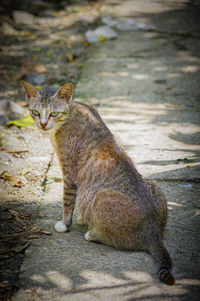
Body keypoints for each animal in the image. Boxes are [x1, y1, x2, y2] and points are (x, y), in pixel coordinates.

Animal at [22, 79, 175, 284]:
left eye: (54, 113)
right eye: (35, 112)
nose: (43, 124)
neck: (72, 111)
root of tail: (153, 232)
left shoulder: (69, 173)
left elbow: (67, 202)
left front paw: (65, 224)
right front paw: (79, 217)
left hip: (103, 196)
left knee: (121, 242)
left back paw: (93, 233)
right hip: (153, 183)